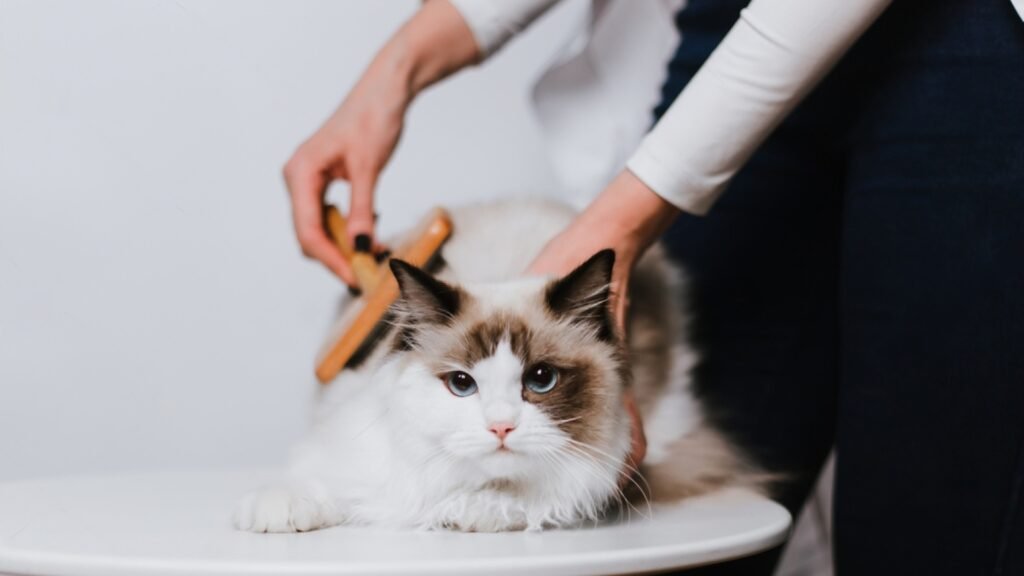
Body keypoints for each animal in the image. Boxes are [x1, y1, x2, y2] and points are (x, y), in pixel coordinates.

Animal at [232, 199, 761, 532]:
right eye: (462, 384)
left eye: (541, 380)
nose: (501, 428)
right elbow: (310, 479)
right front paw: (279, 510)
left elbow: (511, 502)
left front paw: (472, 511)